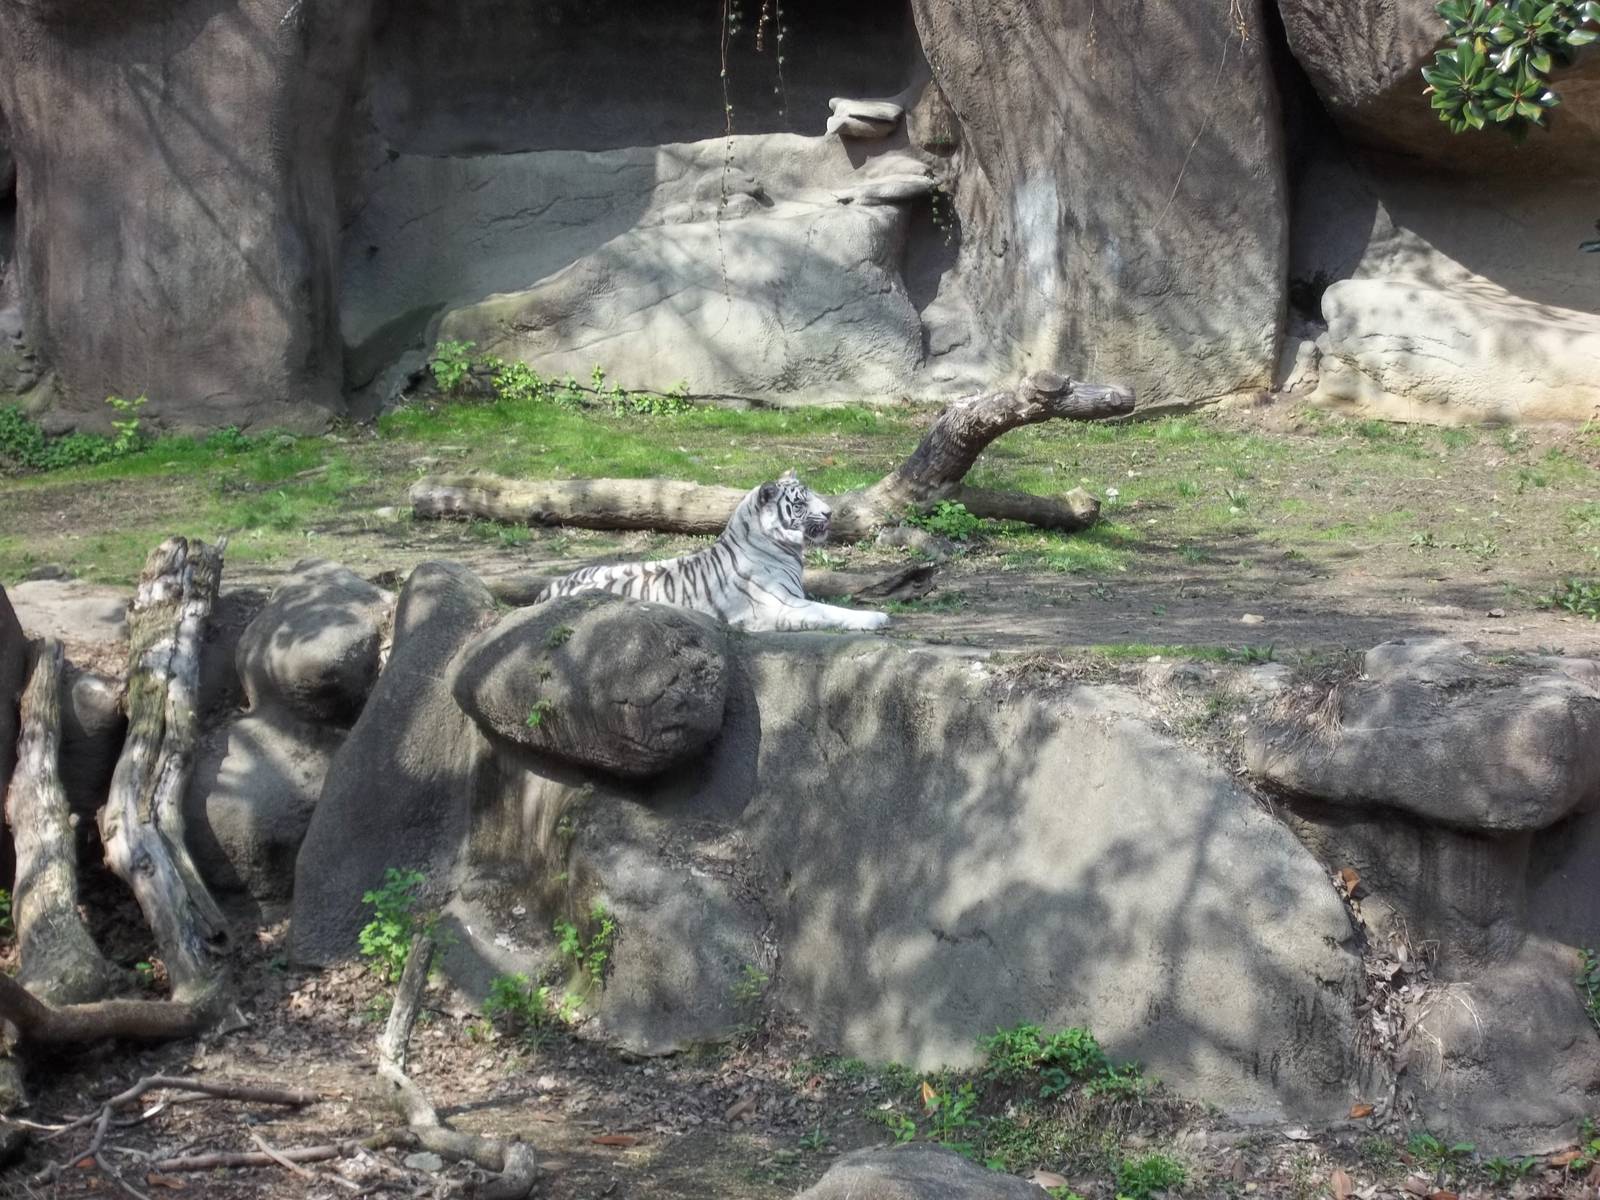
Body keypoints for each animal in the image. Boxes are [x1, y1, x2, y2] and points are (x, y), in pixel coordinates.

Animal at [534, 471, 891, 633]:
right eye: (800, 502)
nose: (830, 513)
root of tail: (547, 590)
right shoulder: (776, 607)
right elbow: (826, 611)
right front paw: (876, 617)